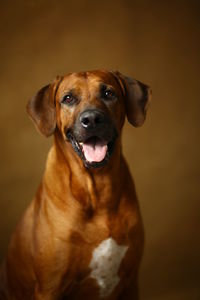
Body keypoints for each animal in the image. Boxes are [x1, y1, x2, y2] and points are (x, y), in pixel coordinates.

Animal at [0, 69, 152, 298]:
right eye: (68, 98)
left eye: (108, 93)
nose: (92, 119)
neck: (97, 190)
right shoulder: (49, 288)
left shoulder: (130, 282)